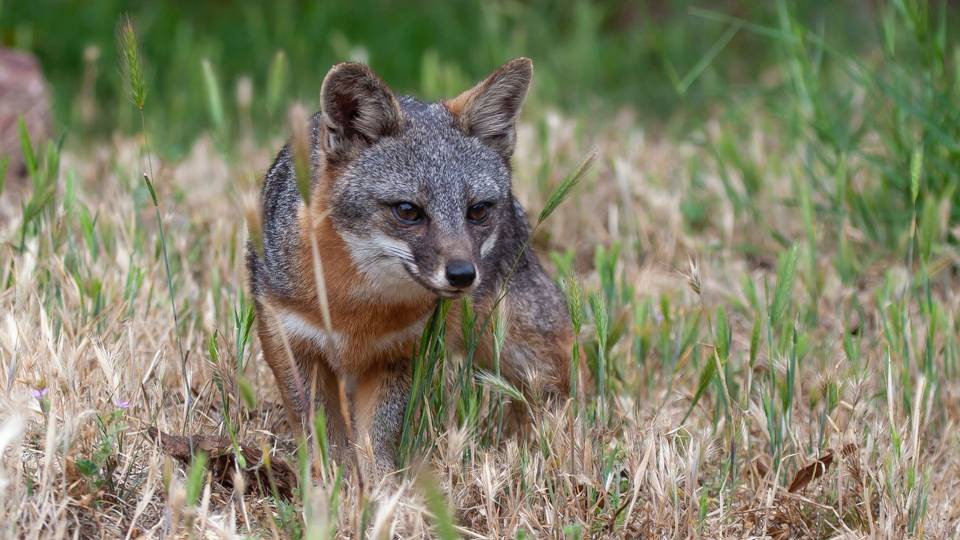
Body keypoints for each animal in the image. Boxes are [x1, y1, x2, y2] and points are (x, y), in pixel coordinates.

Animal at [247, 57, 573, 481]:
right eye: (408, 211)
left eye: (477, 211)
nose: (463, 275)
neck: (355, 309)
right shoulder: (290, 341)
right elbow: (323, 434)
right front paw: (332, 485)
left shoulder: (400, 354)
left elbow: (376, 440)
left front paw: (384, 490)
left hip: (526, 350)